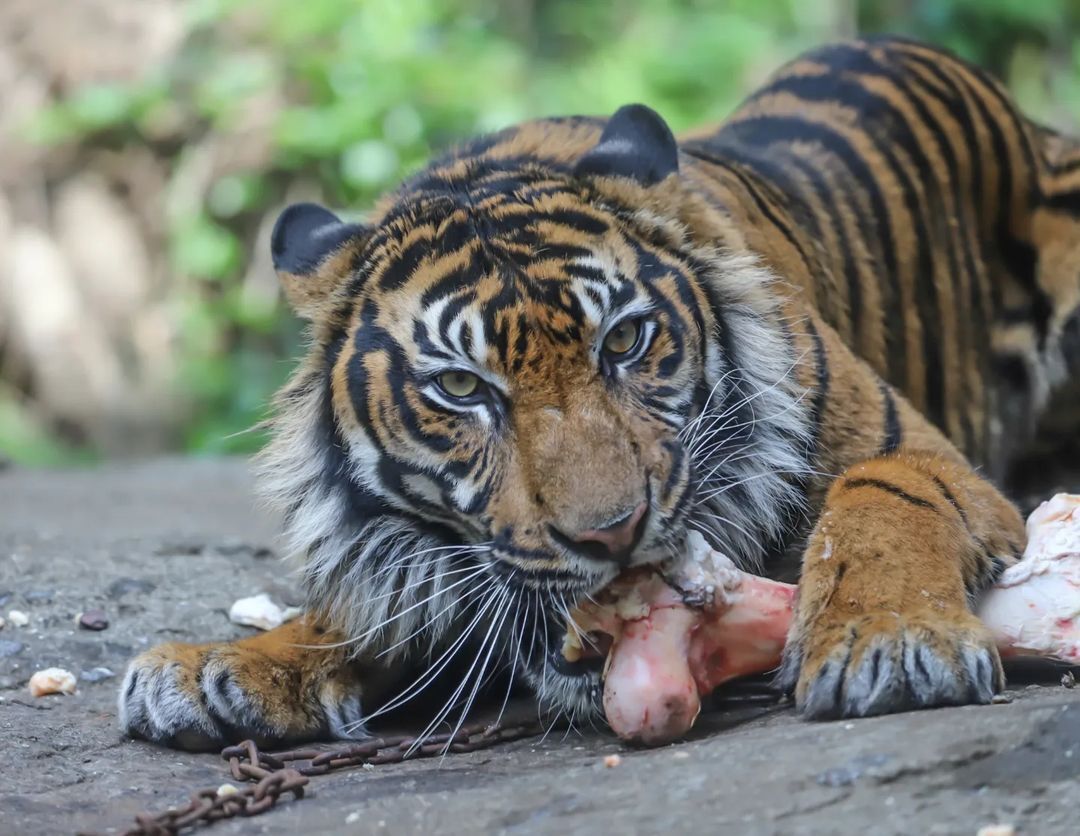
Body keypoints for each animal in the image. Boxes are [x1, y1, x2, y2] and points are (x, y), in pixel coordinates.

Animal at [118, 34, 1080, 751]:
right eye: (461, 386)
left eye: (623, 341)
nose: (610, 536)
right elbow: (368, 608)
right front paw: (226, 665)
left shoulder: (915, 450)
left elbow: (882, 501)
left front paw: (888, 637)